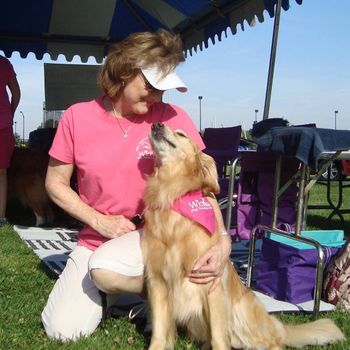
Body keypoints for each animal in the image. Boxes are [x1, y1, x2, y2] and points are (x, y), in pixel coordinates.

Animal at [142, 121, 344, 348]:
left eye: (181, 134)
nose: (156, 124)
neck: (171, 195)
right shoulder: (157, 281)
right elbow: (160, 330)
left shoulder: (211, 283)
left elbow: (219, 336)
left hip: (242, 316)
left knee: (272, 342)